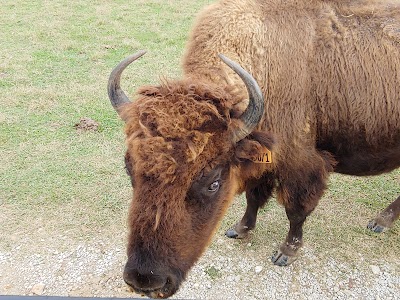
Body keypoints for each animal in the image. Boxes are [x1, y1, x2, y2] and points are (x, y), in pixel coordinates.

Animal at [108, 0, 398, 298]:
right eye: (129, 169)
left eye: (213, 183)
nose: (145, 280)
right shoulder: (261, 162)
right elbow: (254, 198)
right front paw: (239, 229)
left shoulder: (301, 165)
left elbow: (295, 210)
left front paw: (285, 253)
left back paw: (379, 222)